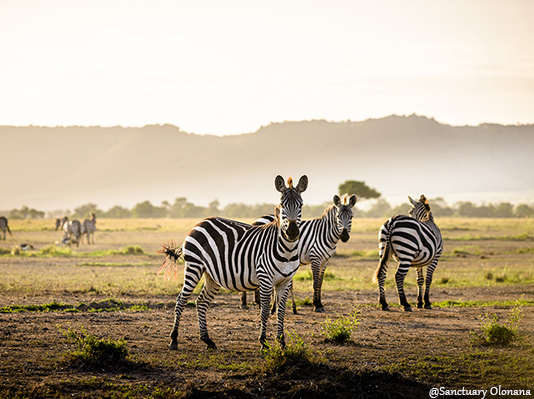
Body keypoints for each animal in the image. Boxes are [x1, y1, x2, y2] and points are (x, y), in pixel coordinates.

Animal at [162, 177, 310, 352]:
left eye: (300, 205)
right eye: (282, 205)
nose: (292, 232)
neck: (286, 250)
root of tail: (200, 222)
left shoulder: (285, 281)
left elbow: (281, 312)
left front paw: (281, 342)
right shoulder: (265, 279)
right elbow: (265, 310)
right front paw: (263, 342)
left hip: (212, 275)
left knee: (201, 302)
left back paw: (207, 340)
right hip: (194, 266)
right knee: (181, 300)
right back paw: (174, 339)